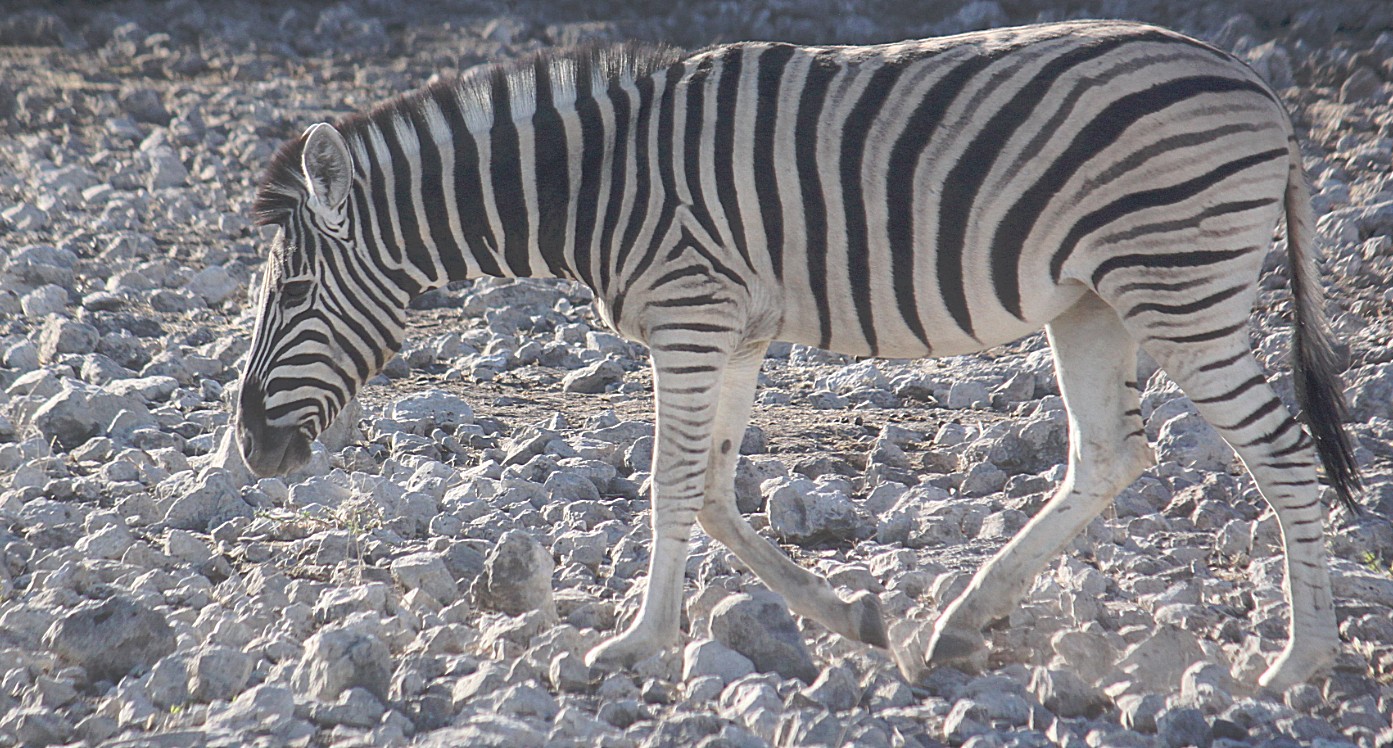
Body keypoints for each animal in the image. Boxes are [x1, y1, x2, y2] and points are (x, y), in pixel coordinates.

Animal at [236, 18, 1359, 688]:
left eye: (289, 295)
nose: (248, 449)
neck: (594, 184)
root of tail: (1259, 93)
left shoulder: (690, 316)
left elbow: (670, 485)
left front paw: (635, 643)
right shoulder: (730, 331)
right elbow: (712, 492)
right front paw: (852, 617)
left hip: (1179, 285)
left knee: (1282, 455)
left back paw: (1299, 661)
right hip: (1090, 301)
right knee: (1108, 454)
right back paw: (959, 623)